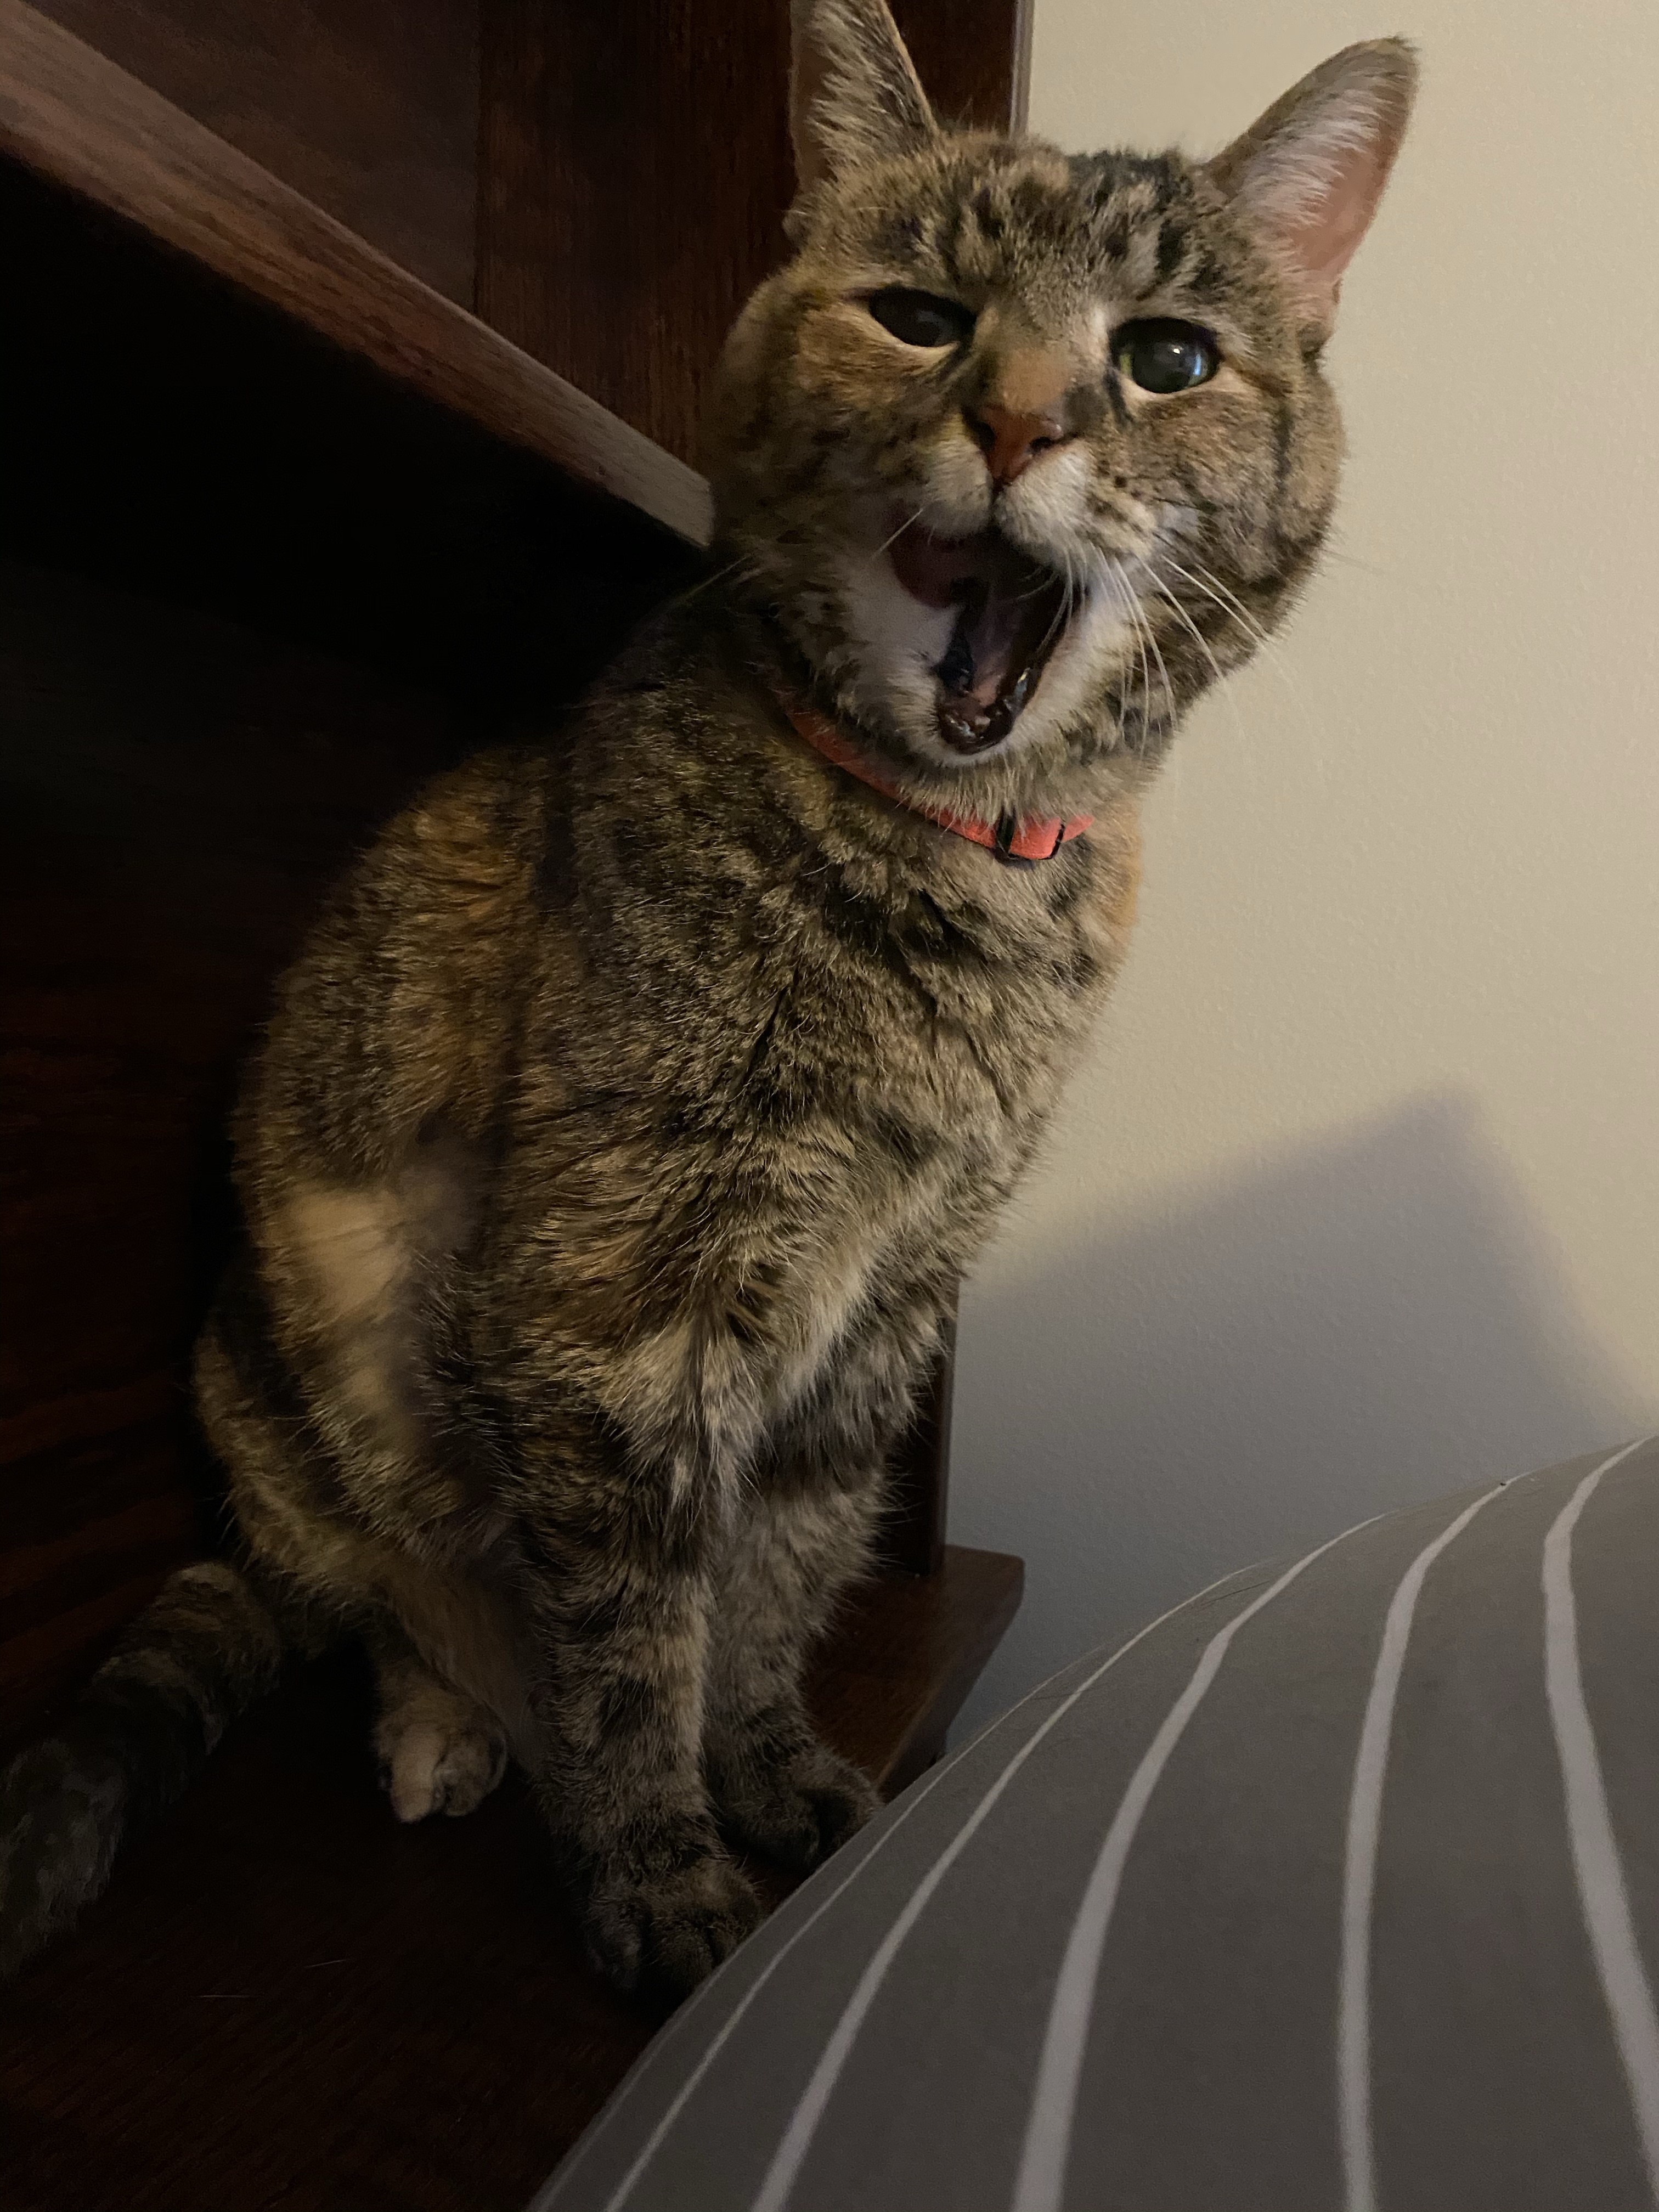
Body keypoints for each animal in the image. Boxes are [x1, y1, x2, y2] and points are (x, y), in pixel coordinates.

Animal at [0, 4, 1424, 2008]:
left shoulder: (887, 1307)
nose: (1020, 419)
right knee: (405, 1608)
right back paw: (447, 1722)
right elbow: (629, 1648)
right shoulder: (611, 1311)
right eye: (919, 313)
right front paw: (666, 1879)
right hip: (314, 1394)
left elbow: (778, 1581)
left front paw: (774, 1772)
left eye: (1164, 357)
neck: (958, 876)